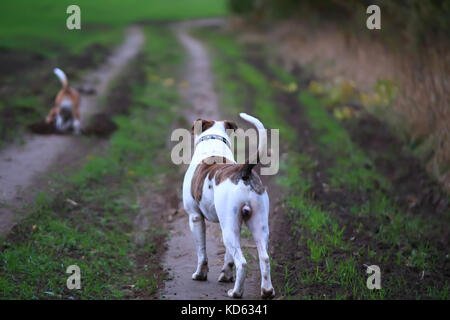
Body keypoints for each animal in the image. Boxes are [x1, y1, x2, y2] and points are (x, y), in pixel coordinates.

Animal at [182, 113, 274, 300]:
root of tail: (244, 172)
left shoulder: (195, 218)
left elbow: (201, 251)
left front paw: (200, 275)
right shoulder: (232, 224)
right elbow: (228, 255)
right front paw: (226, 275)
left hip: (229, 229)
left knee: (242, 263)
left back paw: (236, 292)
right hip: (257, 226)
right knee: (264, 258)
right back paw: (267, 291)